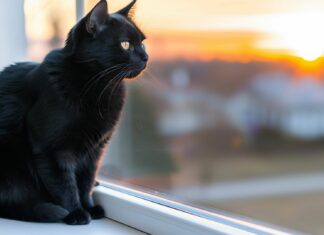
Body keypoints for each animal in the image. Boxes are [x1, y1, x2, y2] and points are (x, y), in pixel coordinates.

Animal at [0, 0, 147, 225]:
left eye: (142, 43)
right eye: (125, 44)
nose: (146, 57)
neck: (100, 88)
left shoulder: (95, 150)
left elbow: (85, 181)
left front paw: (89, 207)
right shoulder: (51, 150)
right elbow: (64, 185)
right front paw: (76, 212)